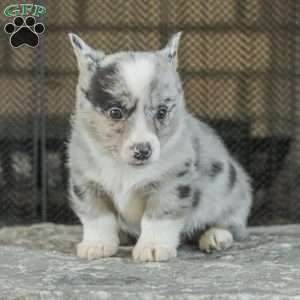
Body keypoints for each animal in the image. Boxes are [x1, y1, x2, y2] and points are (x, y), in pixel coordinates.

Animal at [67, 32, 251, 262]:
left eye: (162, 111)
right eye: (115, 112)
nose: (143, 151)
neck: (124, 168)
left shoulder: (171, 183)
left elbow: (157, 219)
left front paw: (153, 248)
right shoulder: (87, 183)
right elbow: (98, 218)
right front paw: (97, 245)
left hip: (231, 193)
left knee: (230, 224)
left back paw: (215, 237)